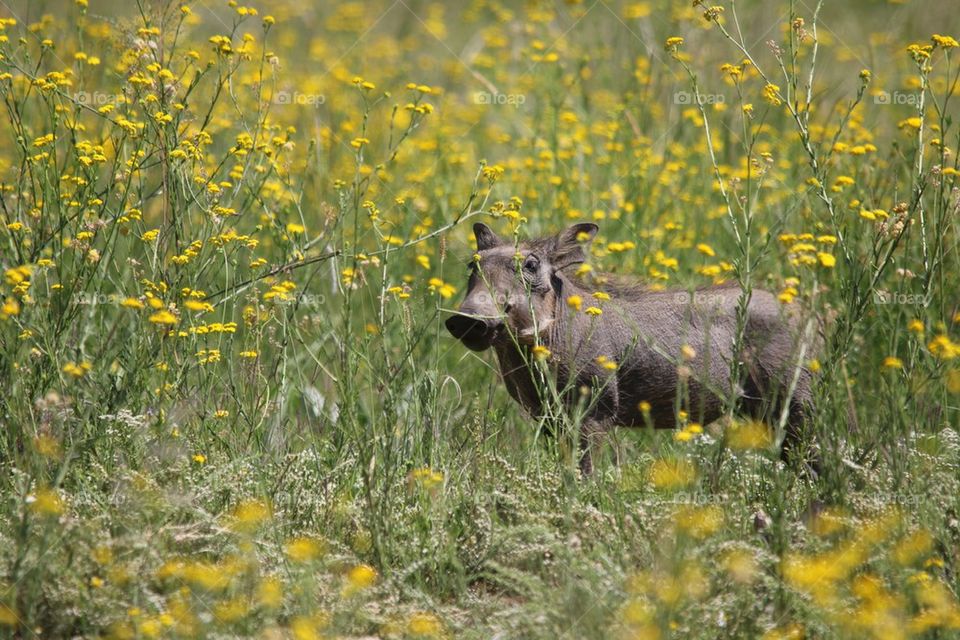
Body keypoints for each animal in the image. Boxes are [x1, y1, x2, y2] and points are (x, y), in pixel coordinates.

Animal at [445, 222, 816, 475]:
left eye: (531, 265)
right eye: (473, 265)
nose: (467, 319)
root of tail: (801, 310)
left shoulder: (593, 416)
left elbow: (584, 472)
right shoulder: (549, 418)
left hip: (794, 403)